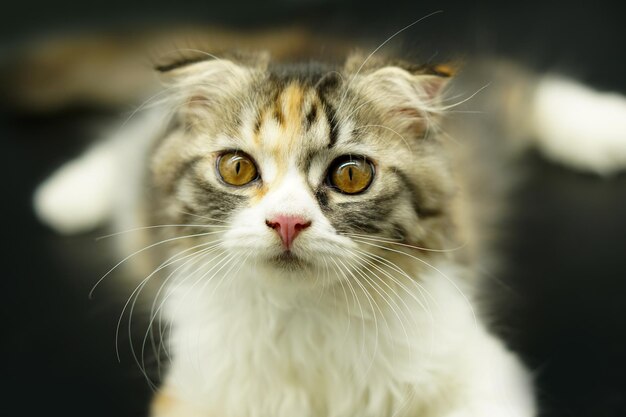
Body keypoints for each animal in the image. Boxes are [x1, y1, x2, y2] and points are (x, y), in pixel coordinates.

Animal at [33, 45, 624, 416]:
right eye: (238, 168)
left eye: (350, 176)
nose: (287, 221)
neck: (305, 315)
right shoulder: (192, 389)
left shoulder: (483, 369)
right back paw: (66, 194)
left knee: (517, 84)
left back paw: (608, 127)